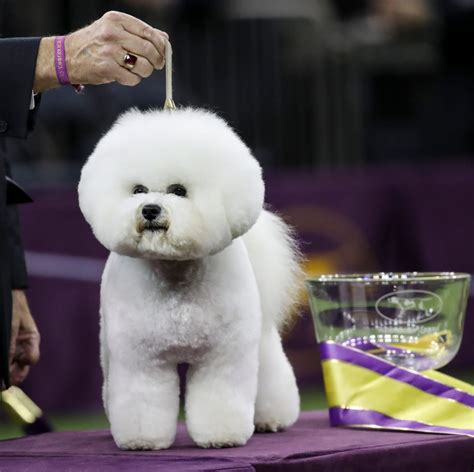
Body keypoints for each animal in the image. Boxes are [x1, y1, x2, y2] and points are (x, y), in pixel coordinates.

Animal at [78, 108, 300, 450]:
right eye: (138, 190)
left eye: (179, 190)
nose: (150, 210)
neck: (175, 273)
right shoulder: (141, 359)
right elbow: (142, 399)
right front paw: (142, 440)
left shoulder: (224, 355)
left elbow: (219, 395)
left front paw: (222, 436)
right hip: (108, 346)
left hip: (260, 340)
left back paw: (270, 419)